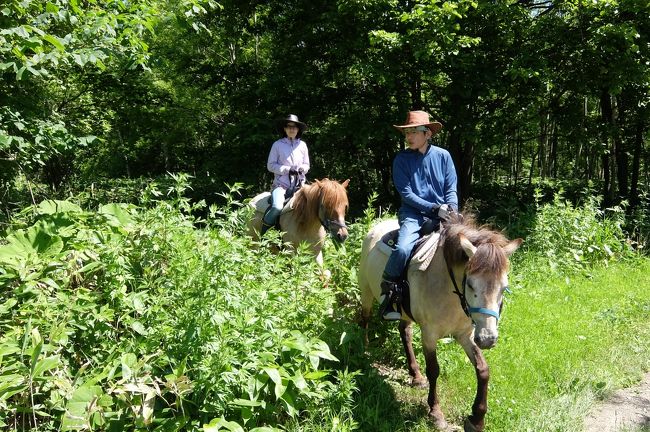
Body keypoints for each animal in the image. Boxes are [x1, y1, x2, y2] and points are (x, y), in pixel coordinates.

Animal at [360, 213, 520, 432]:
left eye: (504, 288)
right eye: (471, 284)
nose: (488, 339)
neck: (449, 289)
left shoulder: (465, 335)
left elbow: (483, 369)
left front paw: (477, 418)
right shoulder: (430, 334)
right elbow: (434, 370)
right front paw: (436, 413)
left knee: (405, 332)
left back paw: (416, 376)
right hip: (366, 291)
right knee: (364, 319)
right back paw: (363, 352)